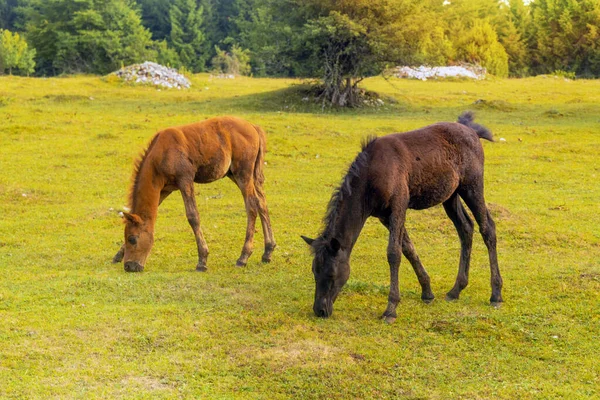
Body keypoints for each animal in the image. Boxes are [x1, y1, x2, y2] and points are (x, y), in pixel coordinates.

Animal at [112, 115, 276, 272]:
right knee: (261, 203)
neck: (162, 153)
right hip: (240, 175)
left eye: (133, 239)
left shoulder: (185, 180)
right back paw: (267, 251)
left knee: (252, 207)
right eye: (126, 237)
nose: (129, 266)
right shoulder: (165, 188)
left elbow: (193, 216)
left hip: (243, 173)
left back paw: (243, 257)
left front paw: (202, 261)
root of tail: (253, 127)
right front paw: (118, 255)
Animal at [302, 111, 504, 322]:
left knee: (487, 228)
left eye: (331, 274)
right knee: (466, 228)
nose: (320, 310)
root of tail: (472, 131)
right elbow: (408, 248)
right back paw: (455, 290)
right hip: (451, 195)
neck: (371, 177)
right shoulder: (384, 215)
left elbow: (393, 253)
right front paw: (427, 292)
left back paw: (496, 294)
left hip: (472, 186)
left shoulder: (399, 204)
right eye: (314, 270)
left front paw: (391, 308)